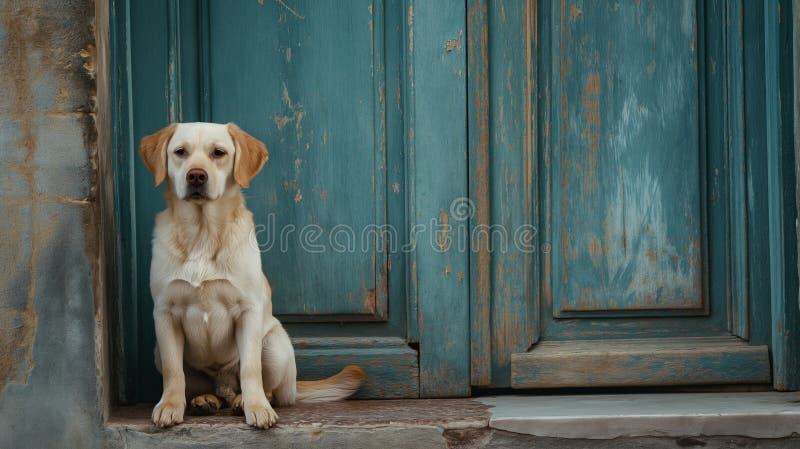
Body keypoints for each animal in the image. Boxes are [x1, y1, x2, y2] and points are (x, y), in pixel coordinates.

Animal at [139, 121, 364, 428]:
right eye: (180, 152)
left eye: (218, 153)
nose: (196, 176)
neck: (202, 233)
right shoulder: (165, 313)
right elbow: (175, 373)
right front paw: (170, 406)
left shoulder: (248, 311)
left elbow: (250, 370)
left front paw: (256, 407)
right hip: (159, 353)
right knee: (200, 385)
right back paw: (205, 400)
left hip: (275, 344)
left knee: (268, 388)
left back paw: (243, 400)